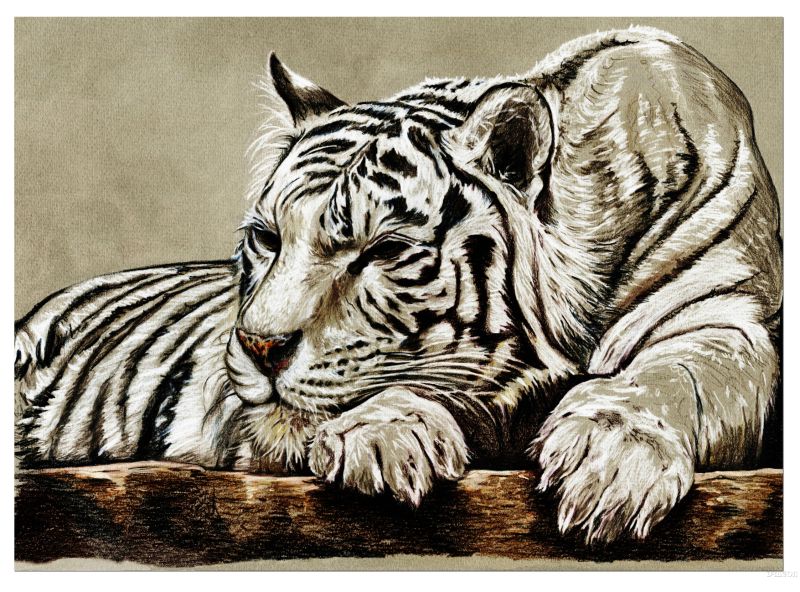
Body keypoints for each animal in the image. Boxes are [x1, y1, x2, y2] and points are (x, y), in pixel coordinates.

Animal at [15, 26, 782, 544]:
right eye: (268, 239)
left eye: (383, 250)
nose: (260, 347)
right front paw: (384, 436)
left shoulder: (725, 320)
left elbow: (679, 375)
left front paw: (612, 458)